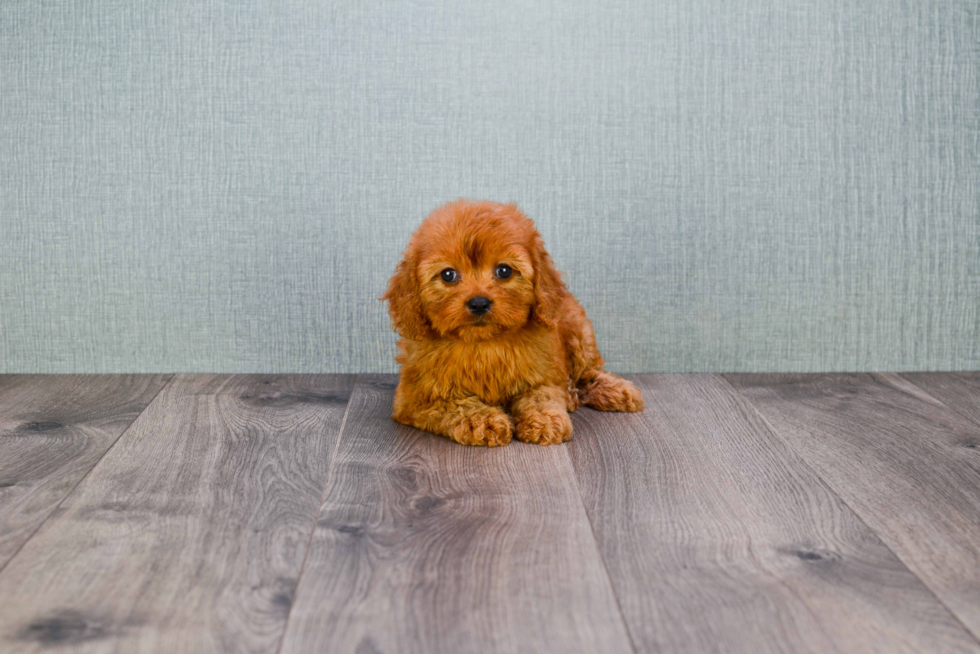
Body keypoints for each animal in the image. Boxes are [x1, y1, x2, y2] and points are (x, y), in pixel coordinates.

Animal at [380, 200, 644, 448]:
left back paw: (614, 390)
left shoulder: (544, 373)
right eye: (448, 275)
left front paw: (545, 420)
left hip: (577, 329)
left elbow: (542, 396)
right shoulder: (416, 397)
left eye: (504, 270)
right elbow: (456, 404)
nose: (479, 303)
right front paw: (482, 421)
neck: (484, 344)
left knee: (587, 370)